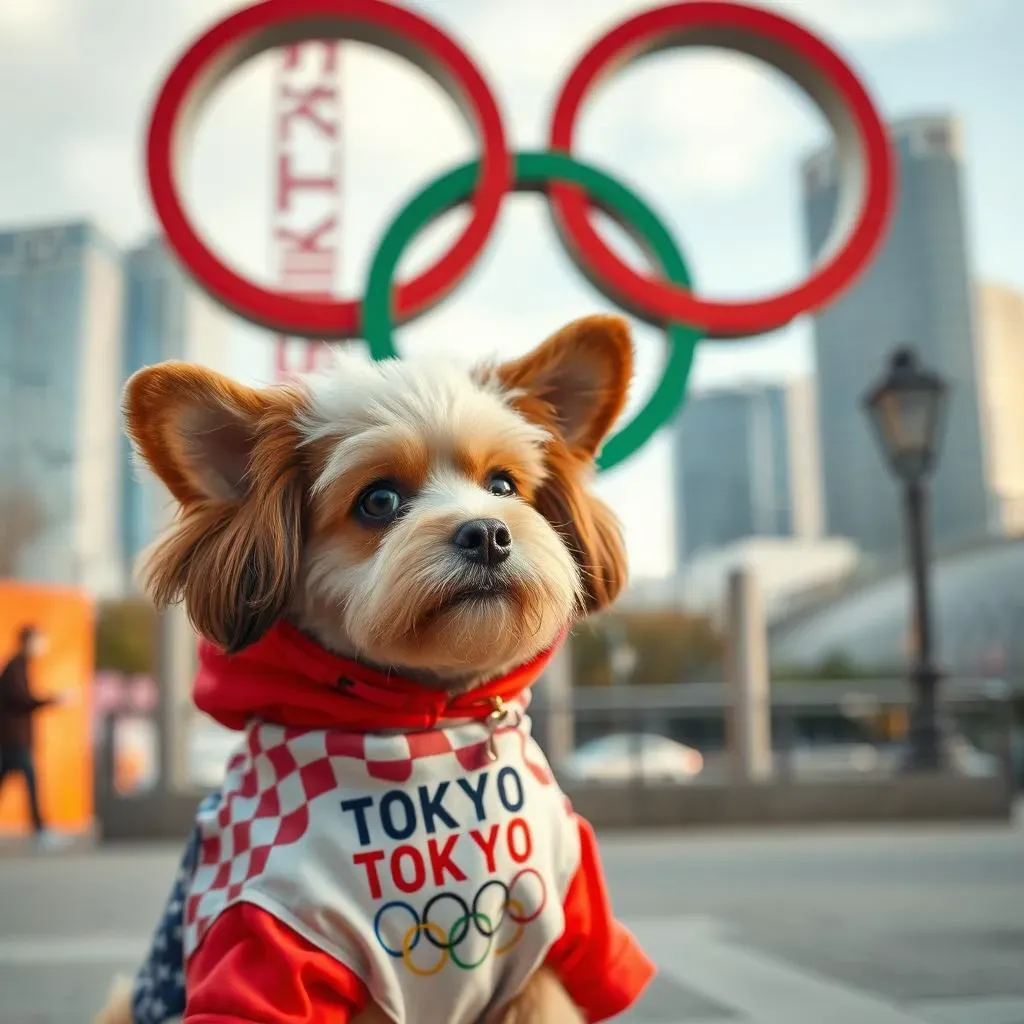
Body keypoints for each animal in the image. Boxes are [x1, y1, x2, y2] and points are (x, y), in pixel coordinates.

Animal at [97, 313, 655, 1024]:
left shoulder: (556, 935)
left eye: (503, 486)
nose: (488, 532)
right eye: (379, 501)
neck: (429, 723)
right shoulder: (270, 941)